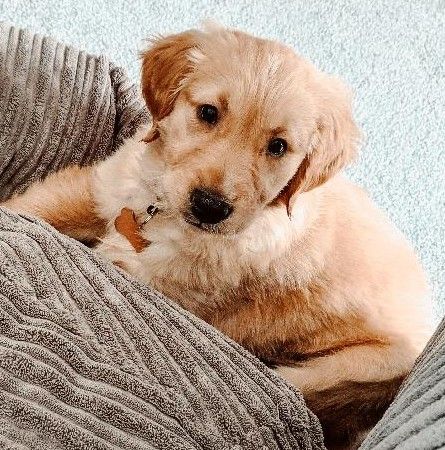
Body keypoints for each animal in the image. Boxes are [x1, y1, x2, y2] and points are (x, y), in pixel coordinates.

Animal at [5, 26, 432, 448]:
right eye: (208, 113)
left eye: (278, 146)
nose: (210, 206)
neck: (159, 211)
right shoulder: (98, 188)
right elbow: (32, 208)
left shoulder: (149, 278)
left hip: (340, 373)